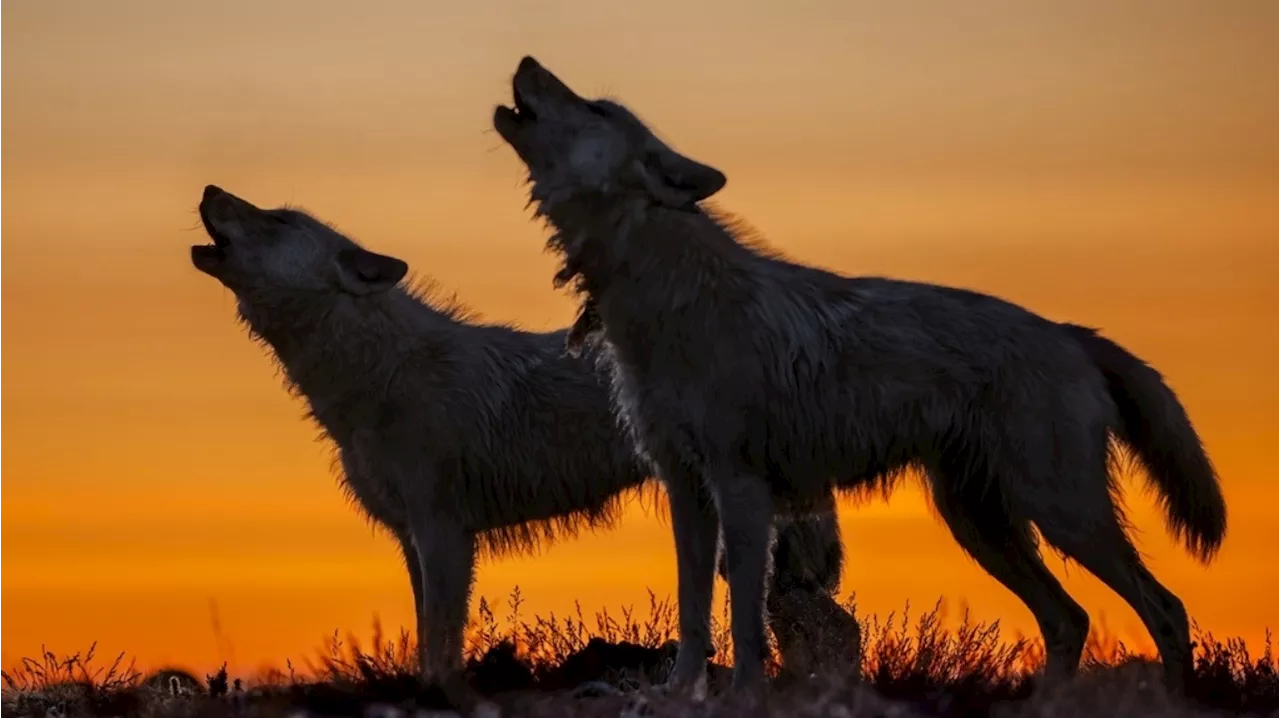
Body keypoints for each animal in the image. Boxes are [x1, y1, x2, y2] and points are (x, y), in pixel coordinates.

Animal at [189, 183, 865, 691]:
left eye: (277, 219)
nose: (209, 190)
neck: (377, 379)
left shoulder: (444, 532)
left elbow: (441, 642)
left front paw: (440, 696)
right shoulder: (412, 538)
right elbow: (427, 632)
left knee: (834, 631)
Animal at [491, 55, 1228, 696]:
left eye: (597, 107)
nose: (526, 60)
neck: (664, 292)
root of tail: (1071, 333)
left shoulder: (741, 488)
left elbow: (745, 624)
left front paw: (744, 696)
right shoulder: (687, 490)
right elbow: (695, 618)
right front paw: (678, 696)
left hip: (1060, 514)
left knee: (1164, 608)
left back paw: (1171, 700)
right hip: (982, 524)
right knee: (1069, 620)